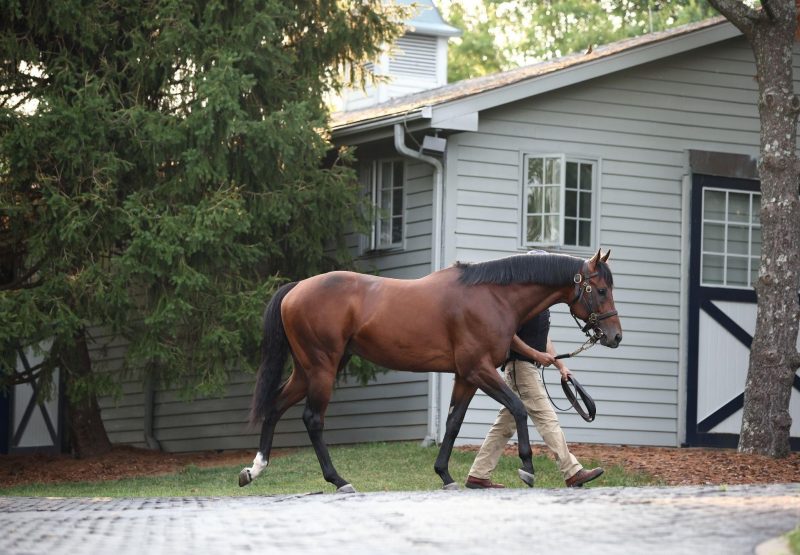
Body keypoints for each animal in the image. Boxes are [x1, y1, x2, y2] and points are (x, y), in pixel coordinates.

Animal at [241, 250, 620, 494]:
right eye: (601, 290)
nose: (615, 336)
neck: (492, 296)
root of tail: (295, 288)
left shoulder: (466, 376)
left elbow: (453, 423)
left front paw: (445, 475)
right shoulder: (479, 369)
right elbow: (518, 408)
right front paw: (526, 469)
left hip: (308, 369)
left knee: (275, 407)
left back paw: (254, 470)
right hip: (322, 367)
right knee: (312, 420)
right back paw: (339, 480)